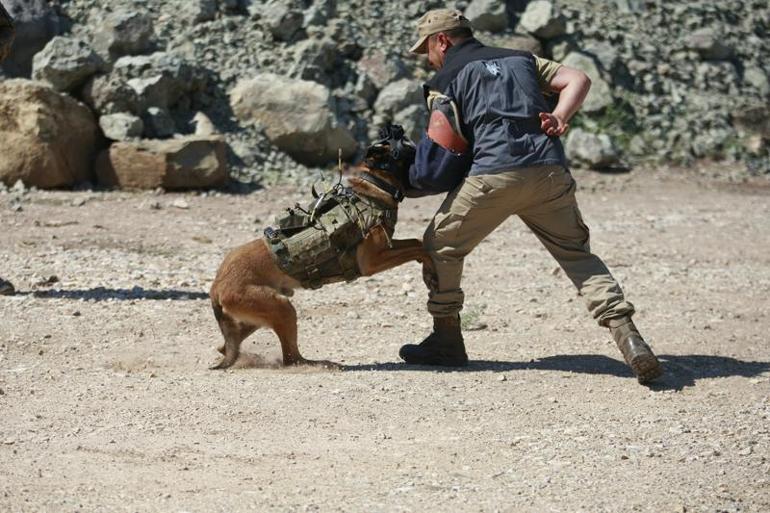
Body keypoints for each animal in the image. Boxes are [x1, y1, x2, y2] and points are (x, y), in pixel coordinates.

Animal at [210, 126, 426, 370]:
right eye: (395, 141)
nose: (396, 127)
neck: (373, 188)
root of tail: (216, 287)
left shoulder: (387, 248)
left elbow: (415, 242)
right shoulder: (372, 262)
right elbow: (418, 246)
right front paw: (429, 257)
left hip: (266, 309)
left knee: (233, 342)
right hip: (282, 307)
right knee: (292, 359)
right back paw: (321, 363)